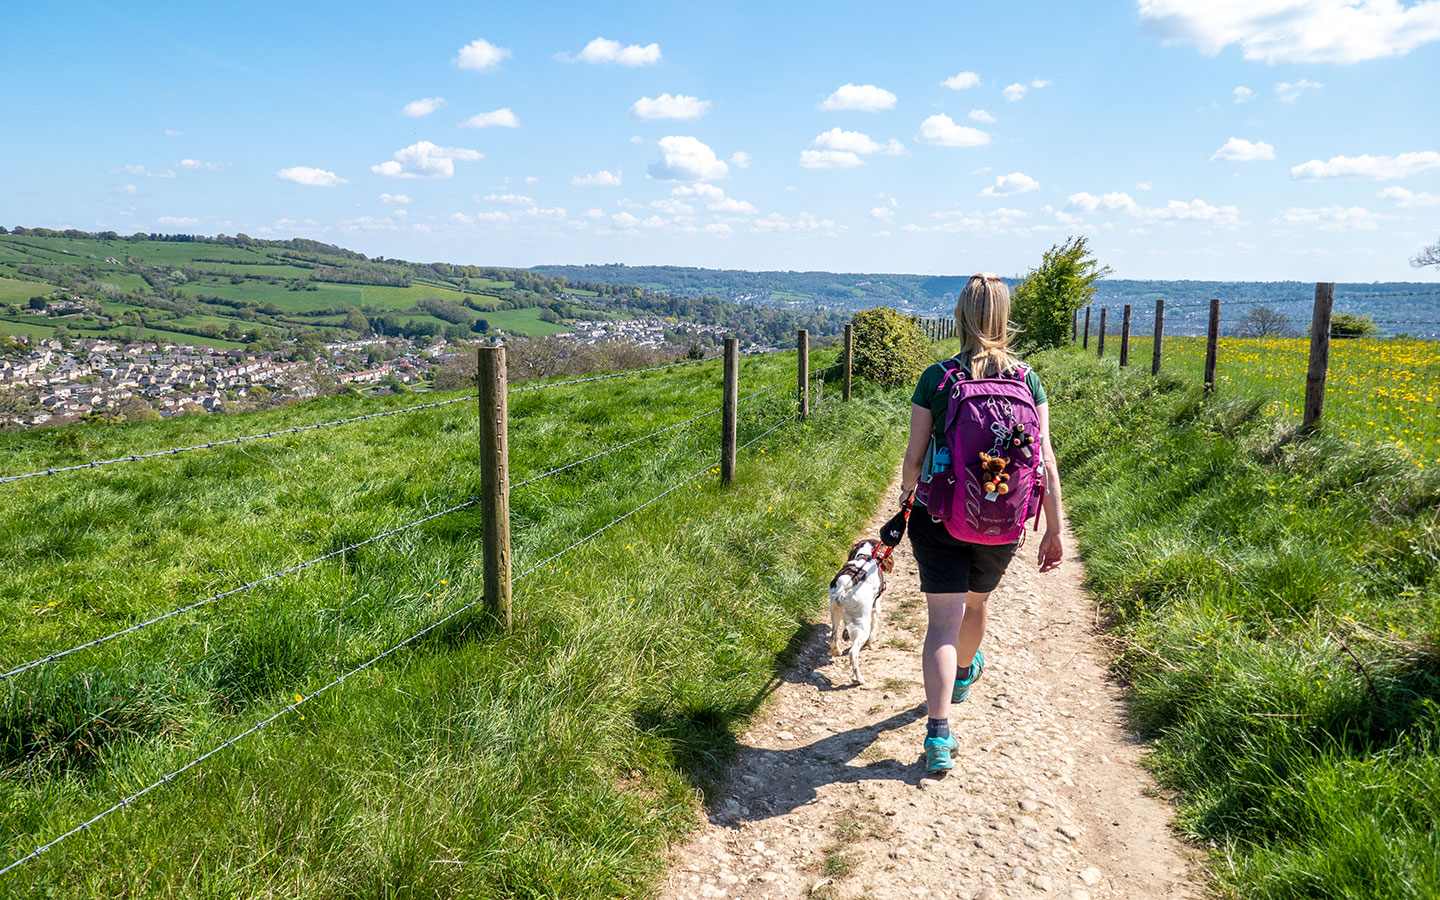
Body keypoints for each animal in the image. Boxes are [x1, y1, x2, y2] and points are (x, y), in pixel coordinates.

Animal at [829, 535, 892, 685]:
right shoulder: (876, 606)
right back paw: (859, 679)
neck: (866, 555)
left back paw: (837, 651)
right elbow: (874, 628)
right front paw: (871, 643)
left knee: (833, 637)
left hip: (835, 613)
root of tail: (845, 587)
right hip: (862, 623)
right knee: (853, 653)